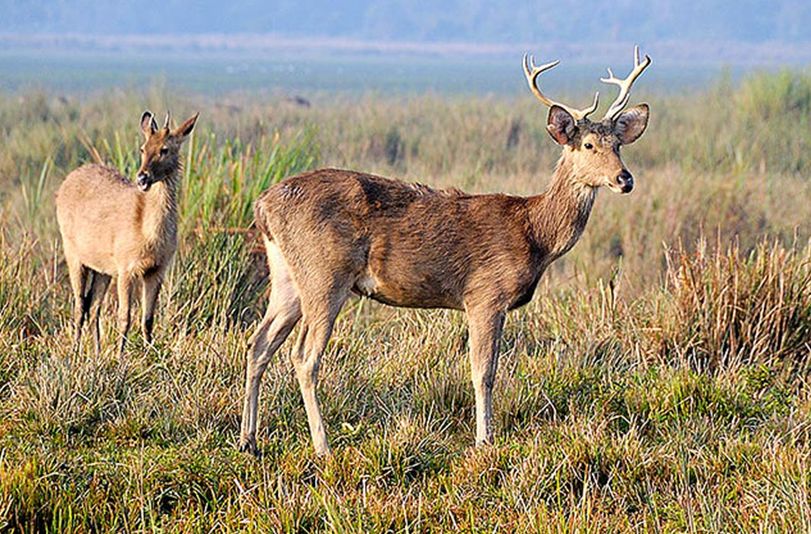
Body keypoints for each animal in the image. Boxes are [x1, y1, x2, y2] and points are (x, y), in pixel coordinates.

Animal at [56, 110, 199, 355]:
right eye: (143, 148)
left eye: (164, 149)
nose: (142, 178)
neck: (149, 234)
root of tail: (66, 183)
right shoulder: (126, 269)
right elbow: (125, 318)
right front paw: (121, 358)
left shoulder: (156, 270)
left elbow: (148, 319)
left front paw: (152, 355)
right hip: (73, 254)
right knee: (80, 306)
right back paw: (74, 353)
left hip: (102, 268)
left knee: (93, 306)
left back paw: (96, 354)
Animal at [239, 47, 651, 456]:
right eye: (588, 145)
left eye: (618, 145)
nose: (625, 178)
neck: (535, 234)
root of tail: (262, 205)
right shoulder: (485, 294)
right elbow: (483, 371)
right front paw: (484, 439)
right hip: (325, 275)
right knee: (303, 357)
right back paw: (322, 447)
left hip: (288, 277)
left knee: (258, 343)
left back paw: (249, 440)